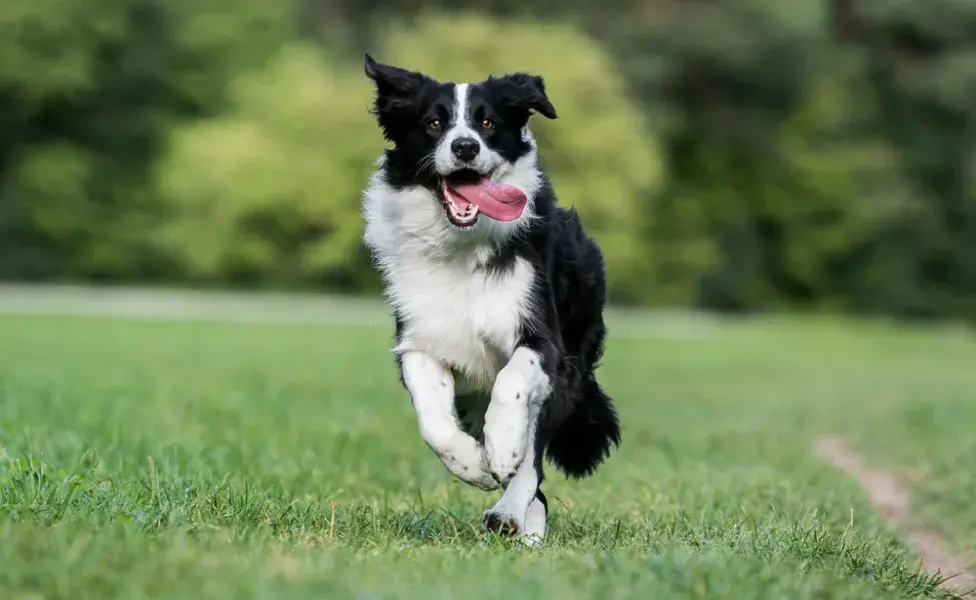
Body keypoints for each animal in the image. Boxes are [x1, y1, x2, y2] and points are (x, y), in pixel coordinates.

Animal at [362, 55, 620, 544]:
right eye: (434, 123)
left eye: (487, 122)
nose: (464, 147)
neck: (462, 247)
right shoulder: (420, 341)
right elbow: (432, 420)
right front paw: (473, 465)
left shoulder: (543, 340)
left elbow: (513, 385)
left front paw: (500, 450)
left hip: (571, 368)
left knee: (534, 458)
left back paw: (512, 513)